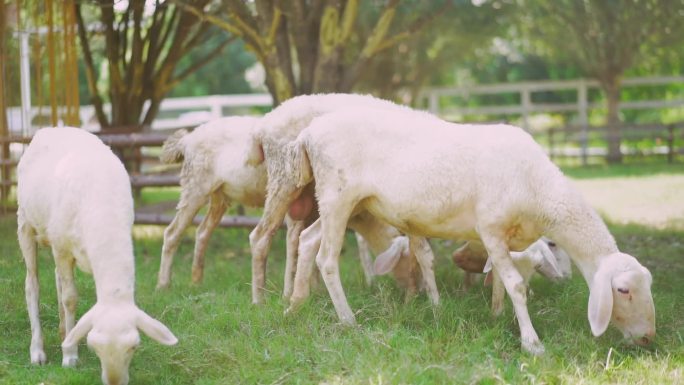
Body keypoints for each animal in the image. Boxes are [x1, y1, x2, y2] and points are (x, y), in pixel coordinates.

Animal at [18, 127, 179, 384]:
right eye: (95, 348)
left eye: (134, 346)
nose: (114, 381)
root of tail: (52, 128)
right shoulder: (62, 249)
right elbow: (70, 298)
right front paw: (70, 357)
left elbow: (68, 294)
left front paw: (69, 340)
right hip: (25, 223)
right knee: (32, 285)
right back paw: (38, 351)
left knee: (57, 280)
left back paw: (64, 332)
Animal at [248, 92, 436, 304]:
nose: (420, 289)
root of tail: (264, 124)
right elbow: (418, 248)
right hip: (284, 178)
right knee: (261, 236)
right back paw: (259, 300)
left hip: (307, 192)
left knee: (294, 237)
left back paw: (294, 293)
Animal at [280, 99, 656, 354]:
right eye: (623, 290)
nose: (648, 337)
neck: (539, 188)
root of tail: (308, 134)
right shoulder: (490, 229)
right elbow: (516, 285)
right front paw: (532, 343)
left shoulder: (504, 238)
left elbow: (501, 283)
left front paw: (496, 315)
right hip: (337, 196)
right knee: (326, 259)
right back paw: (348, 320)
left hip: (343, 203)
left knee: (308, 240)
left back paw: (295, 305)